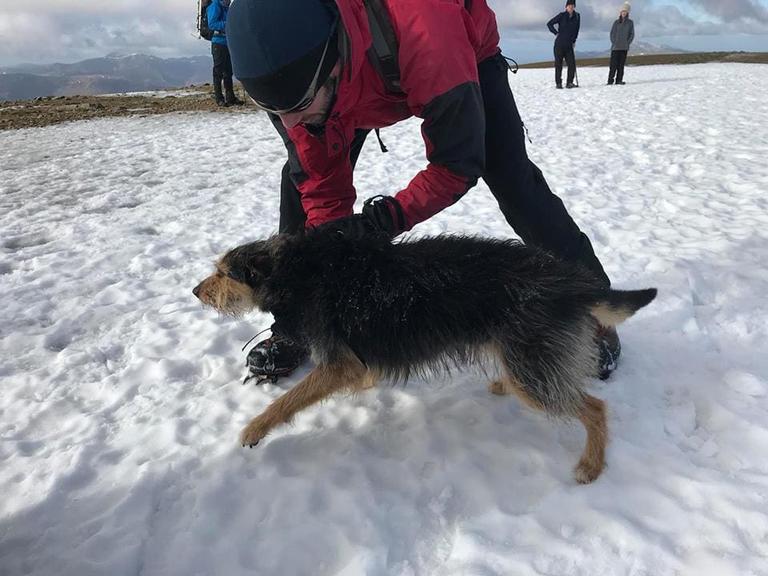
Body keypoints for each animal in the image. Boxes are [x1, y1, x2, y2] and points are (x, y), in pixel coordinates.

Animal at [194, 227, 656, 484]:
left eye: (223, 273)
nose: (196, 291)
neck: (295, 270)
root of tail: (569, 283)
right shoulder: (355, 362)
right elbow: (360, 375)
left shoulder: (337, 362)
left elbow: (288, 401)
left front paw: (254, 428)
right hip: (523, 356)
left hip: (533, 372)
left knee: (594, 408)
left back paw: (591, 465)